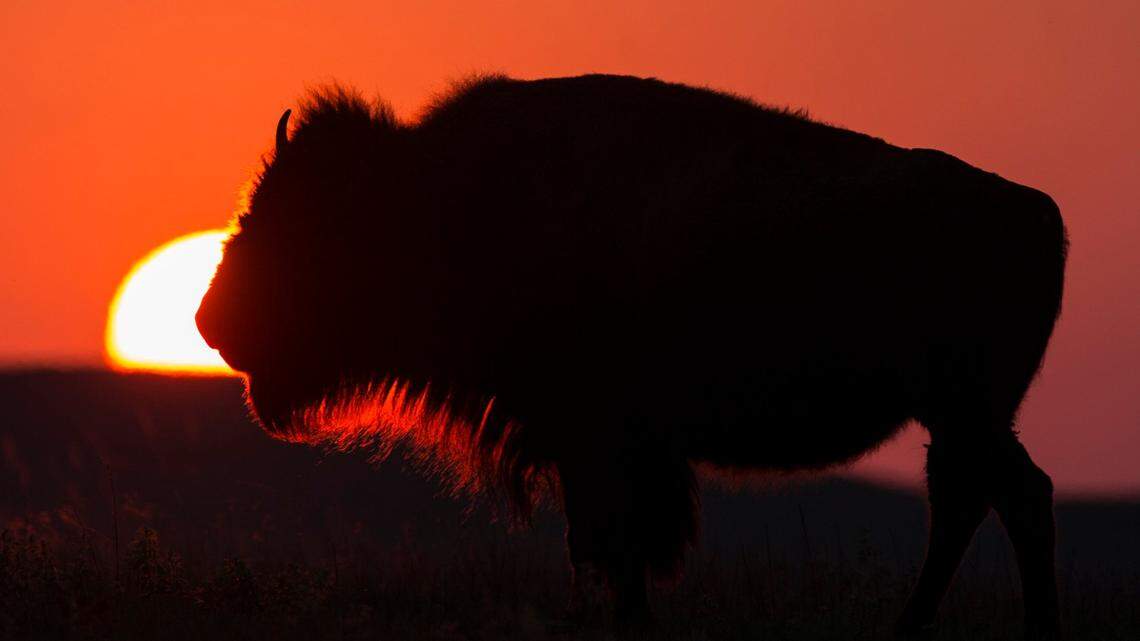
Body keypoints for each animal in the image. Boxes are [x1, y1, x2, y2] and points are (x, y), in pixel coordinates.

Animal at [196, 74, 1067, 637]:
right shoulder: (595, 447)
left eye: (305, 221)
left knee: (1008, 496)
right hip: (958, 416)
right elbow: (608, 541)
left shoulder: (600, 441)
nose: (209, 321)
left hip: (965, 410)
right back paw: (920, 625)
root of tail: (1036, 210)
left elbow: (612, 539)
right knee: (977, 498)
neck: (437, 201)